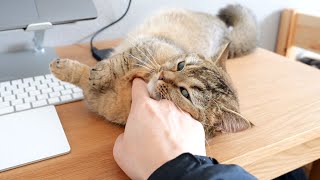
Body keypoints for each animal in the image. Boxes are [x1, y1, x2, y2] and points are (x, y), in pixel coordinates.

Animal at [51, 4, 258, 137]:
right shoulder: (146, 47)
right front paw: (67, 67)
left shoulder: (96, 97)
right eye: (180, 65)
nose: (162, 75)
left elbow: (87, 76)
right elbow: (120, 61)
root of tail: (225, 30)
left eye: (185, 93)